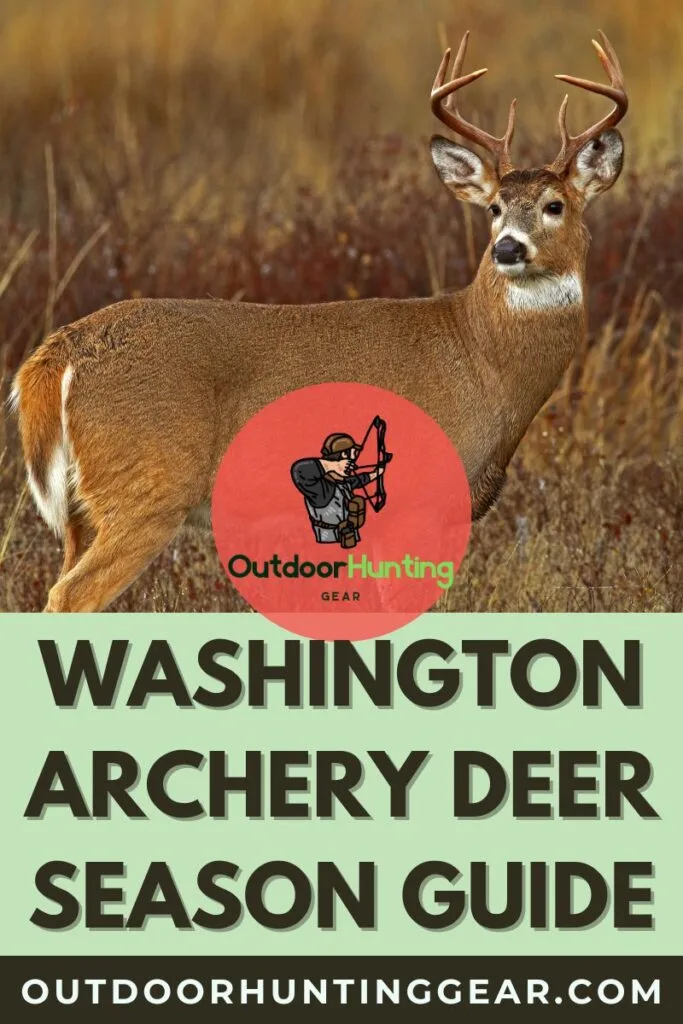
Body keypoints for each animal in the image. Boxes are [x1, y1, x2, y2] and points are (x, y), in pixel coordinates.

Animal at [10, 31, 628, 612]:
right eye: (495, 207)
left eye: (555, 205)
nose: (506, 248)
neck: (478, 356)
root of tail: (58, 356)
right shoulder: (415, 502)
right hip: (147, 488)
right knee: (69, 596)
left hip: (81, 509)